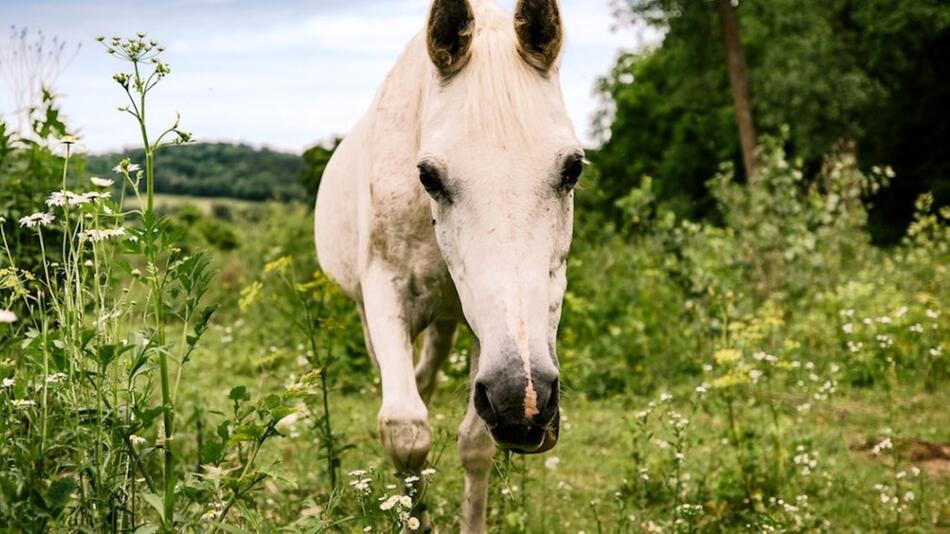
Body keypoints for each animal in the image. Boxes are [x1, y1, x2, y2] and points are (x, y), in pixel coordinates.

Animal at [314, 0, 580, 528]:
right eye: (428, 176)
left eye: (573, 168)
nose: (524, 400)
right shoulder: (386, 295)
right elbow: (405, 429)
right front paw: (412, 515)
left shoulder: (487, 330)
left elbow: (476, 443)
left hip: (451, 322)